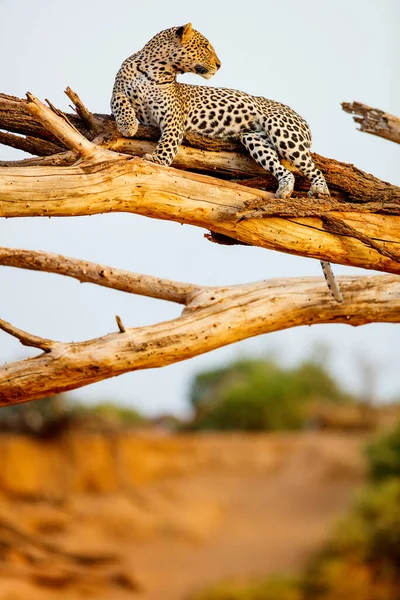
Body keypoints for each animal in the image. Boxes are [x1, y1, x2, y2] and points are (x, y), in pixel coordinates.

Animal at [111, 23, 342, 302]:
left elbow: (167, 145)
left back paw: (319, 191)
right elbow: (120, 100)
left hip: (283, 131)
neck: (155, 70)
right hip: (254, 139)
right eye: (206, 46)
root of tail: (302, 120)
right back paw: (284, 190)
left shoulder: (173, 119)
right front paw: (128, 125)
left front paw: (157, 158)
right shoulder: (118, 93)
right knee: (286, 171)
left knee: (313, 168)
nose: (219, 65)